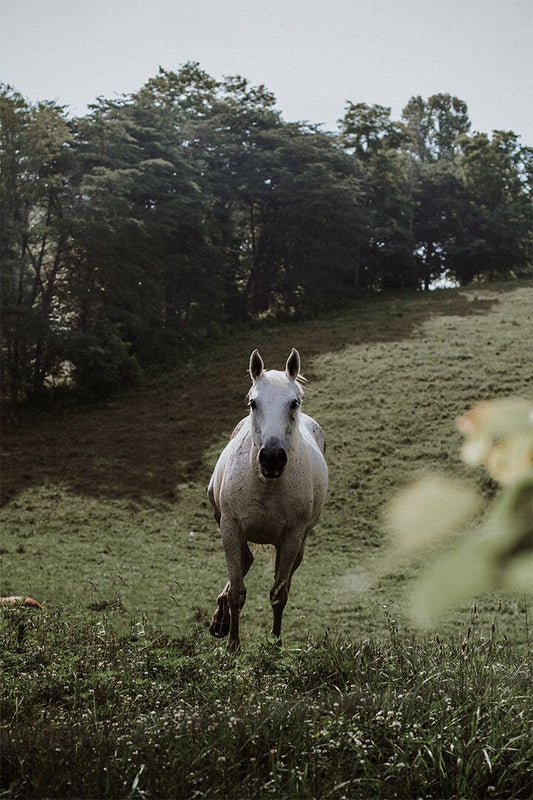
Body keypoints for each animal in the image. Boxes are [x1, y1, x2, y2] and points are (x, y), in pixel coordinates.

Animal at [207, 348, 328, 652]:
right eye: (253, 403)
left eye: (294, 403)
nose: (271, 457)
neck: (266, 485)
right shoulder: (230, 528)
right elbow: (237, 592)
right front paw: (232, 645)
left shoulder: (291, 538)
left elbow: (278, 594)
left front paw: (275, 643)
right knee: (244, 562)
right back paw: (220, 621)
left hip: (299, 543)